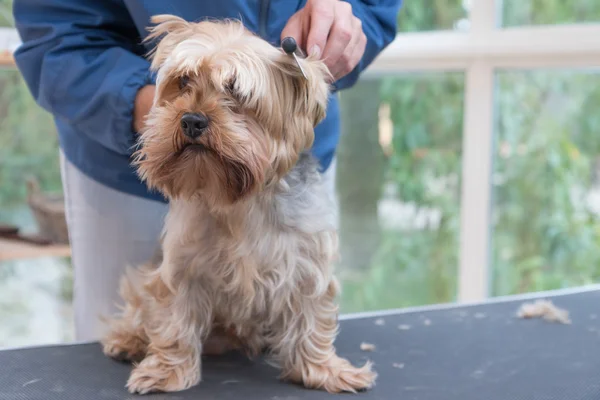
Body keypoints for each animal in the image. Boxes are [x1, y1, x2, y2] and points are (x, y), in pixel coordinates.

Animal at [101, 14, 378, 394]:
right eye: (183, 82)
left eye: (235, 90)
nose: (192, 119)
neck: (240, 199)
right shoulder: (182, 265)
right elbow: (173, 318)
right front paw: (166, 372)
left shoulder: (306, 263)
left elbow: (311, 317)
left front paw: (323, 370)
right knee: (140, 305)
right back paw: (128, 339)